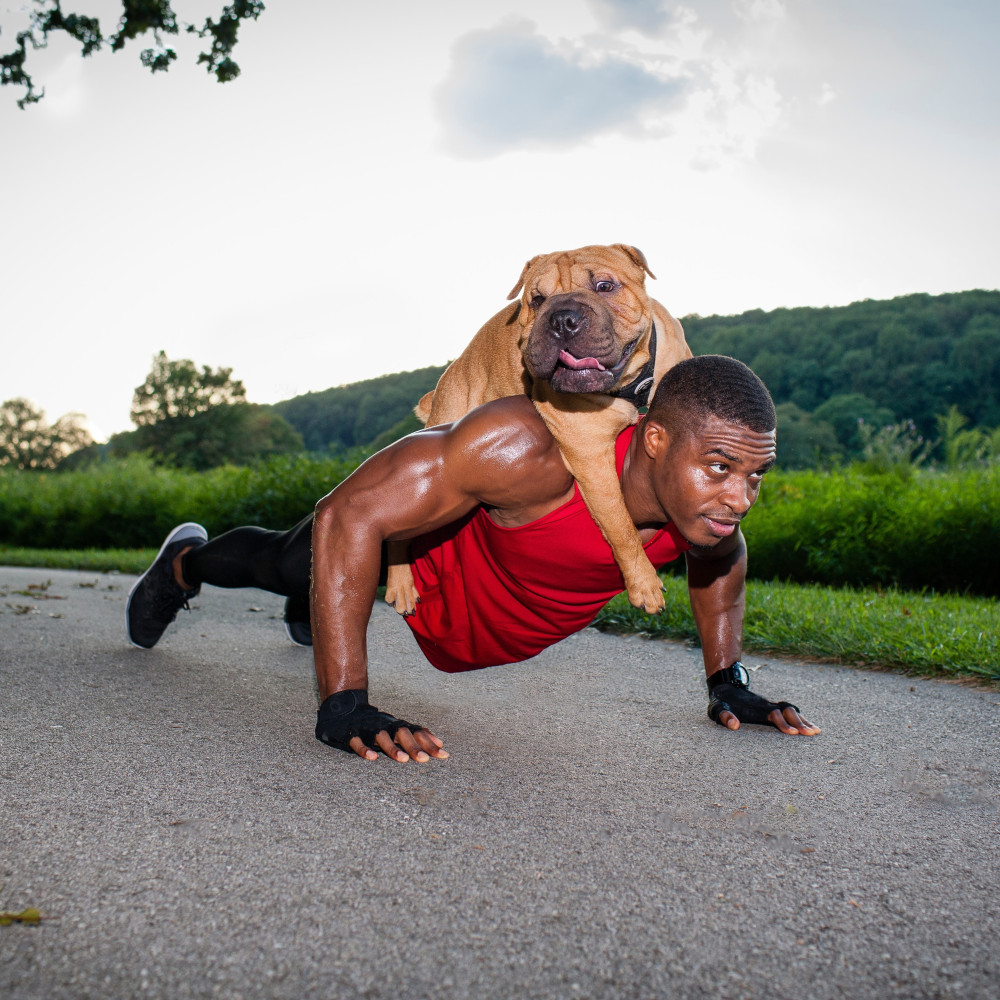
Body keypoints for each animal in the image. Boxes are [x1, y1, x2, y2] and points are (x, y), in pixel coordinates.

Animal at [386, 243, 692, 616]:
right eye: (537, 300)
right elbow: (621, 526)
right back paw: (400, 584)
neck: (631, 387)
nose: (562, 319)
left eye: (605, 286)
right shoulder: (592, 461)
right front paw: (643, 584)